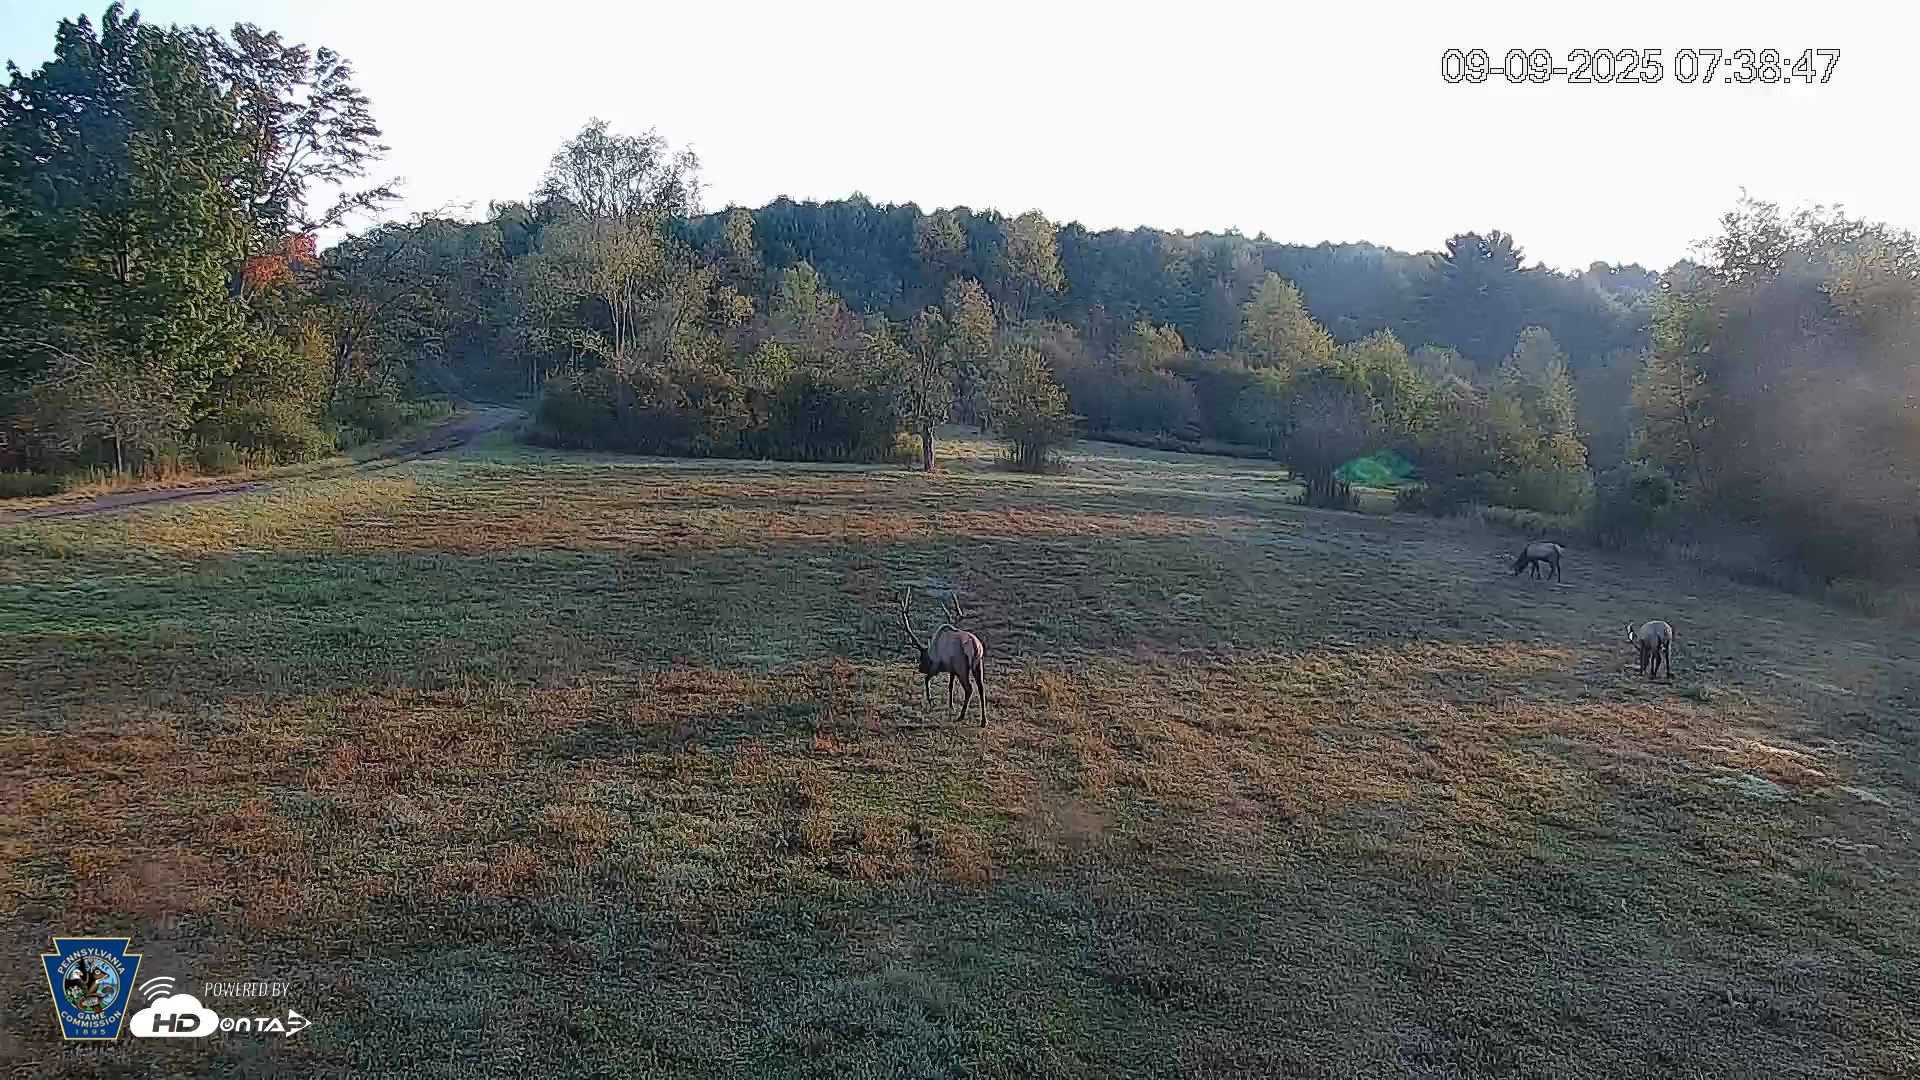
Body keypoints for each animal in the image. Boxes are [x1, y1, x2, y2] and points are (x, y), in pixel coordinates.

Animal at [900, 588, 986, 726]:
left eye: (923, 658)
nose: (920, 668)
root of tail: (975, 646)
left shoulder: (938, 666)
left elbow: (927, 679)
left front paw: (930, 701)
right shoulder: (952, 669)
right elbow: (950, 686)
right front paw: (950, 705)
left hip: (962, 667)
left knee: (969, 689)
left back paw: (961, 716)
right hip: (978, 664)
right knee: (981, 687)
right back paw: (983, 721)